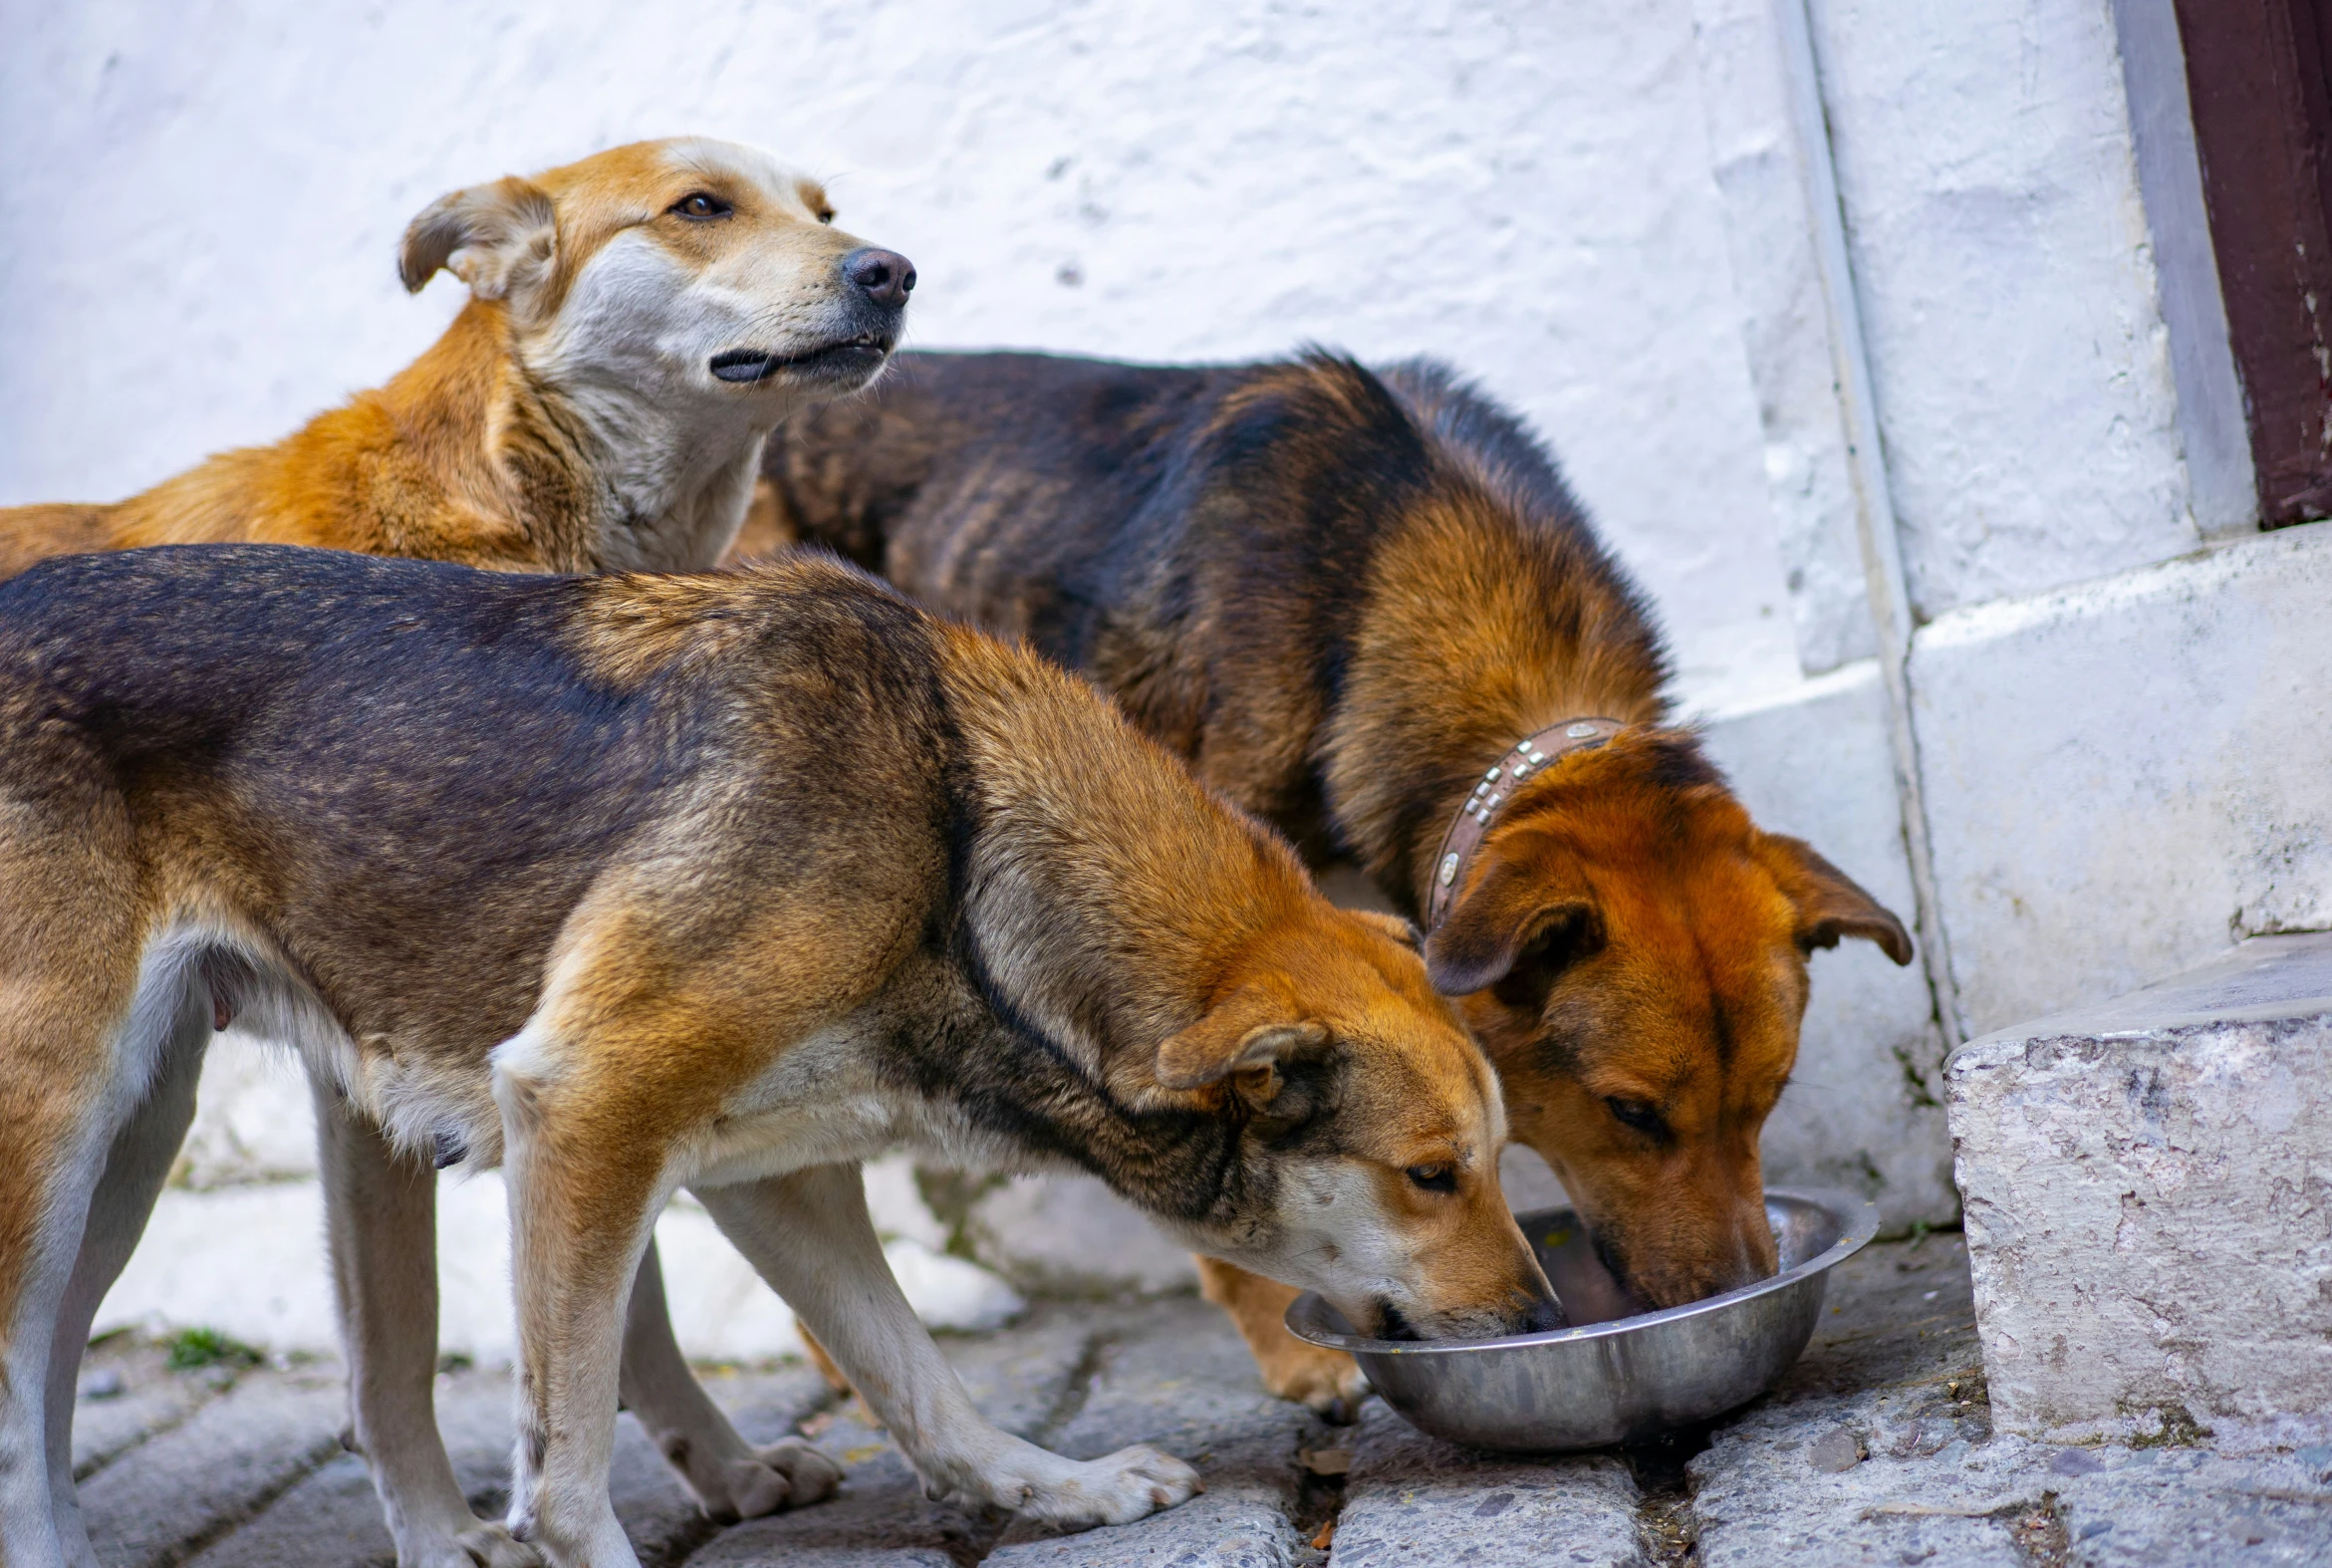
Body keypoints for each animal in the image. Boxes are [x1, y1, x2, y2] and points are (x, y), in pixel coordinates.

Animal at [4, 541, 1567, 1567]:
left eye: (1502, 1160)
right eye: (1434, 1174)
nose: (1547, 1319)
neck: (954, 831)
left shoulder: (767, 1172)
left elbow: (914, 1372)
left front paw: (1049, 1488)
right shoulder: (588, 1105)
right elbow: (566, 1480)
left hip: (130, 1155)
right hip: (58, 1142)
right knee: (24, 1410)